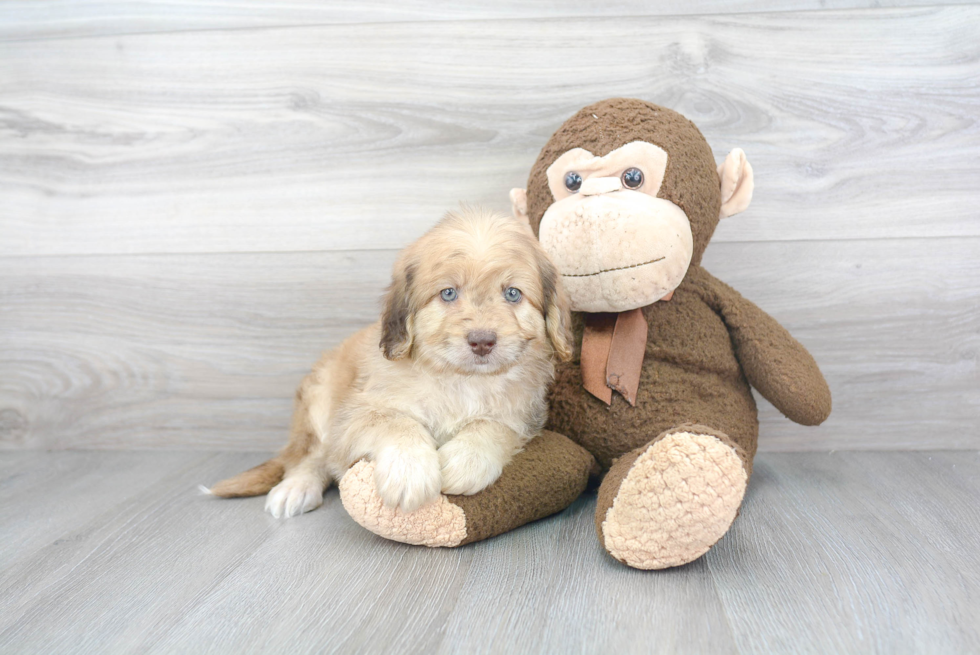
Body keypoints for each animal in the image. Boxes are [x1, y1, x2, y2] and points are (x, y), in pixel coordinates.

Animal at [210, 209, 572, 516]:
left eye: (513, 294)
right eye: (448, 293)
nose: (482, 341)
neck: (460, 380)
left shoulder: (525, 414)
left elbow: (495, 425)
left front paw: (466, 459)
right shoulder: (356, 412)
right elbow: (397, 422)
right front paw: (410, 473)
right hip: (319, 402)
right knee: (312, 456)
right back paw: (296, 488)